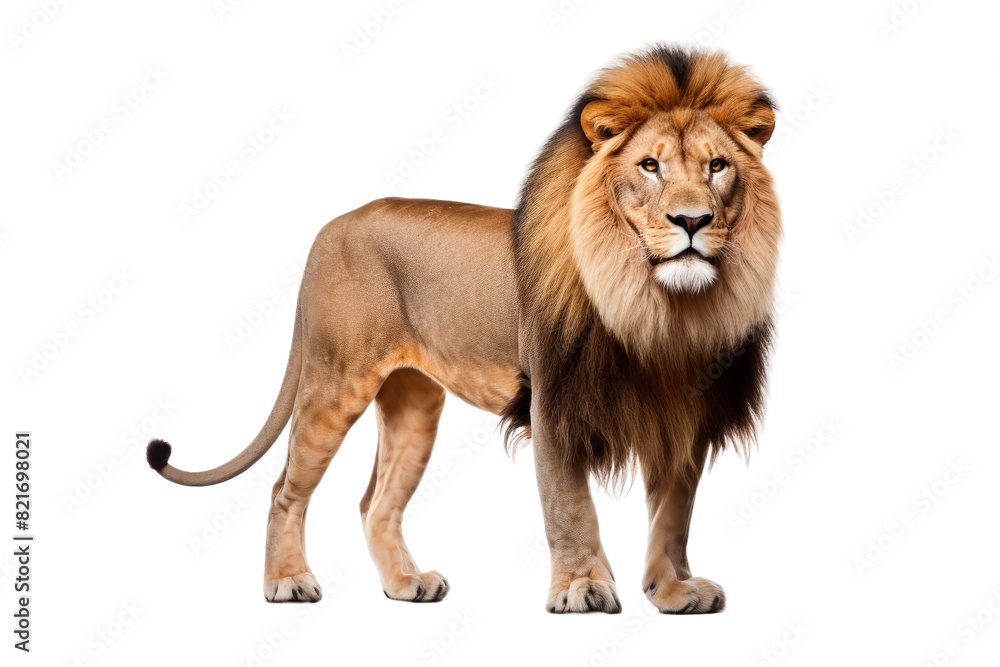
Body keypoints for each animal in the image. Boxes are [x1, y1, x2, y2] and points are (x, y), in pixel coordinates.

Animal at [147, 45, 780, 614]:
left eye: (717, 166)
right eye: (650, 166)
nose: (692, 220)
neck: (662, 309)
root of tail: (330, 227)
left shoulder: (685, 413)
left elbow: (673, 516)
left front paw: (673, 590)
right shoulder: (553, 401)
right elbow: (571, 505)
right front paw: (581, 588)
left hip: (414, 402)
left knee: (374, 503)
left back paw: (407, 585)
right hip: (335, 382)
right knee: (285, 490)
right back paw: (287, 582)